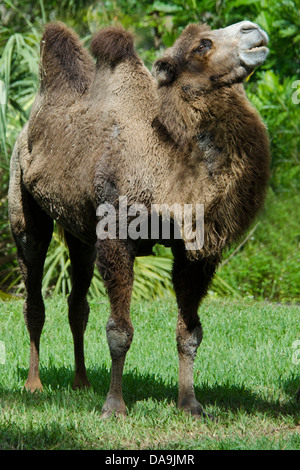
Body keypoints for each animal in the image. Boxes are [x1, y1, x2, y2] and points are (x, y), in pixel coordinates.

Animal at [8, 19, 270, 418]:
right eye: (202, 45)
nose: (253, 29)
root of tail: (25, 130)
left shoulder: (194, 248)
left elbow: (190, 332)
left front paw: (190, 403)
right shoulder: (117, 233)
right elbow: (119, 331)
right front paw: (114, 406)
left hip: (82, 236)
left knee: (77, 303)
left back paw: (81, 382)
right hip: (22, 203)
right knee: (33, 293)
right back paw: (34, 385)